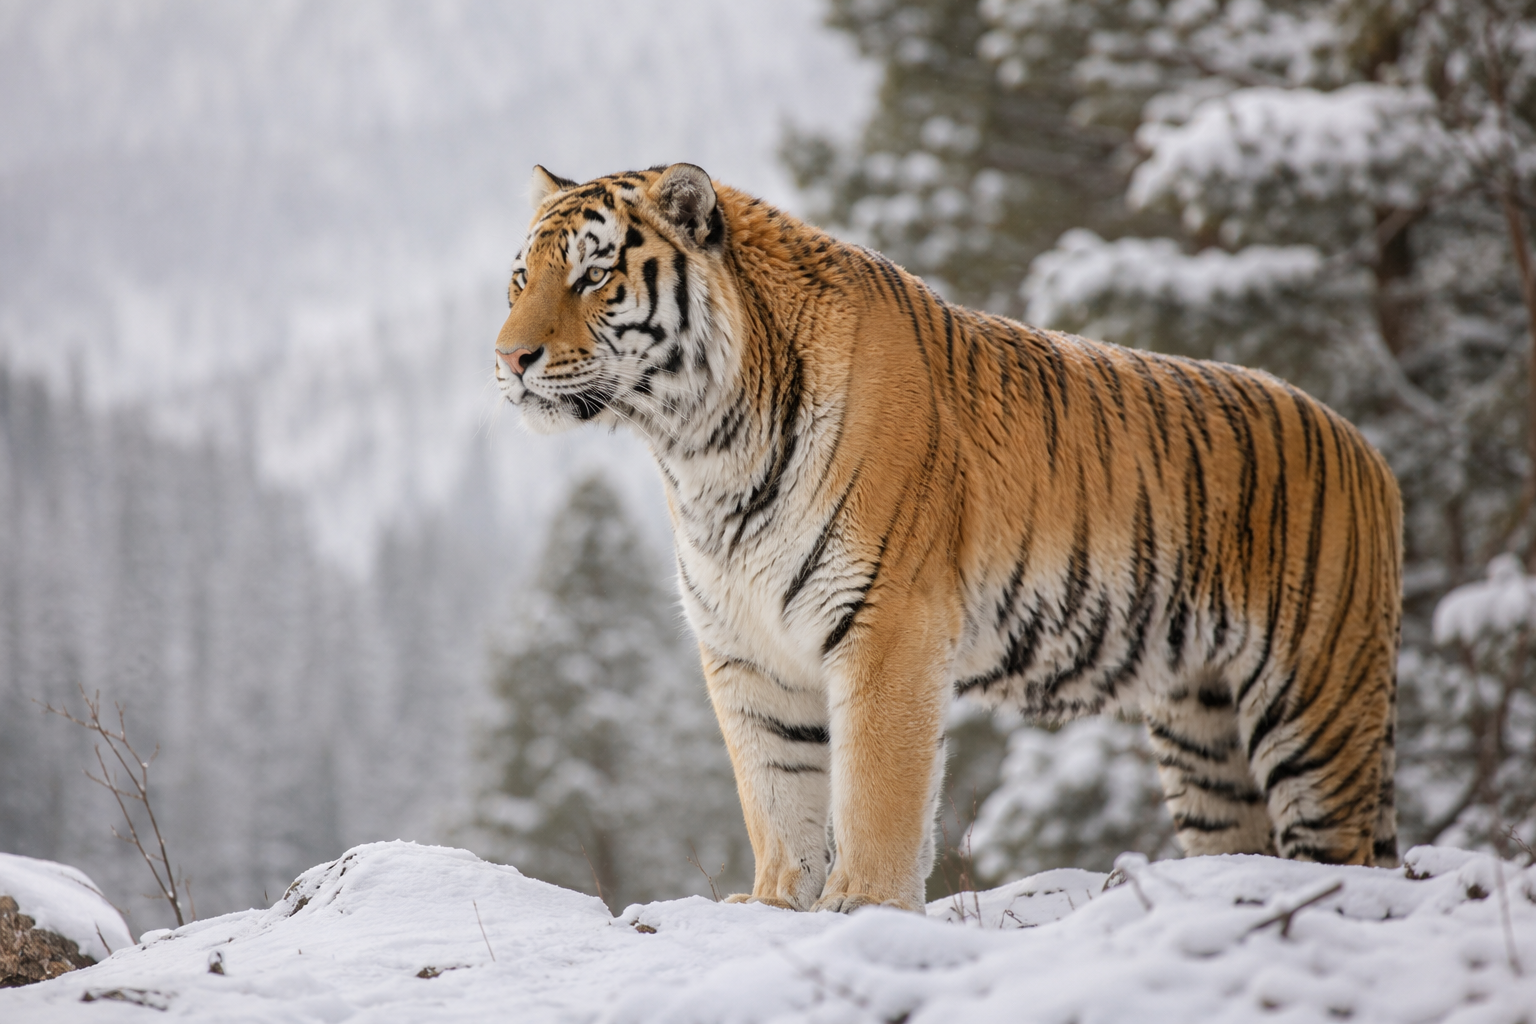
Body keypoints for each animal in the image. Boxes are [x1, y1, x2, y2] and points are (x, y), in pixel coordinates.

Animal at [493, 163, 1403, 913]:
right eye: (521, 278)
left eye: (594, 274)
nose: (509, 359)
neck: (705, 452)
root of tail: (1367, 450)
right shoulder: (745, 650)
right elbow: (777, 795)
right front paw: (776, 906)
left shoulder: (887, 621)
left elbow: (876, 788)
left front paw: (863, 908)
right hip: (1202, 733)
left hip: (1315, 707)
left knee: (1347, 853)